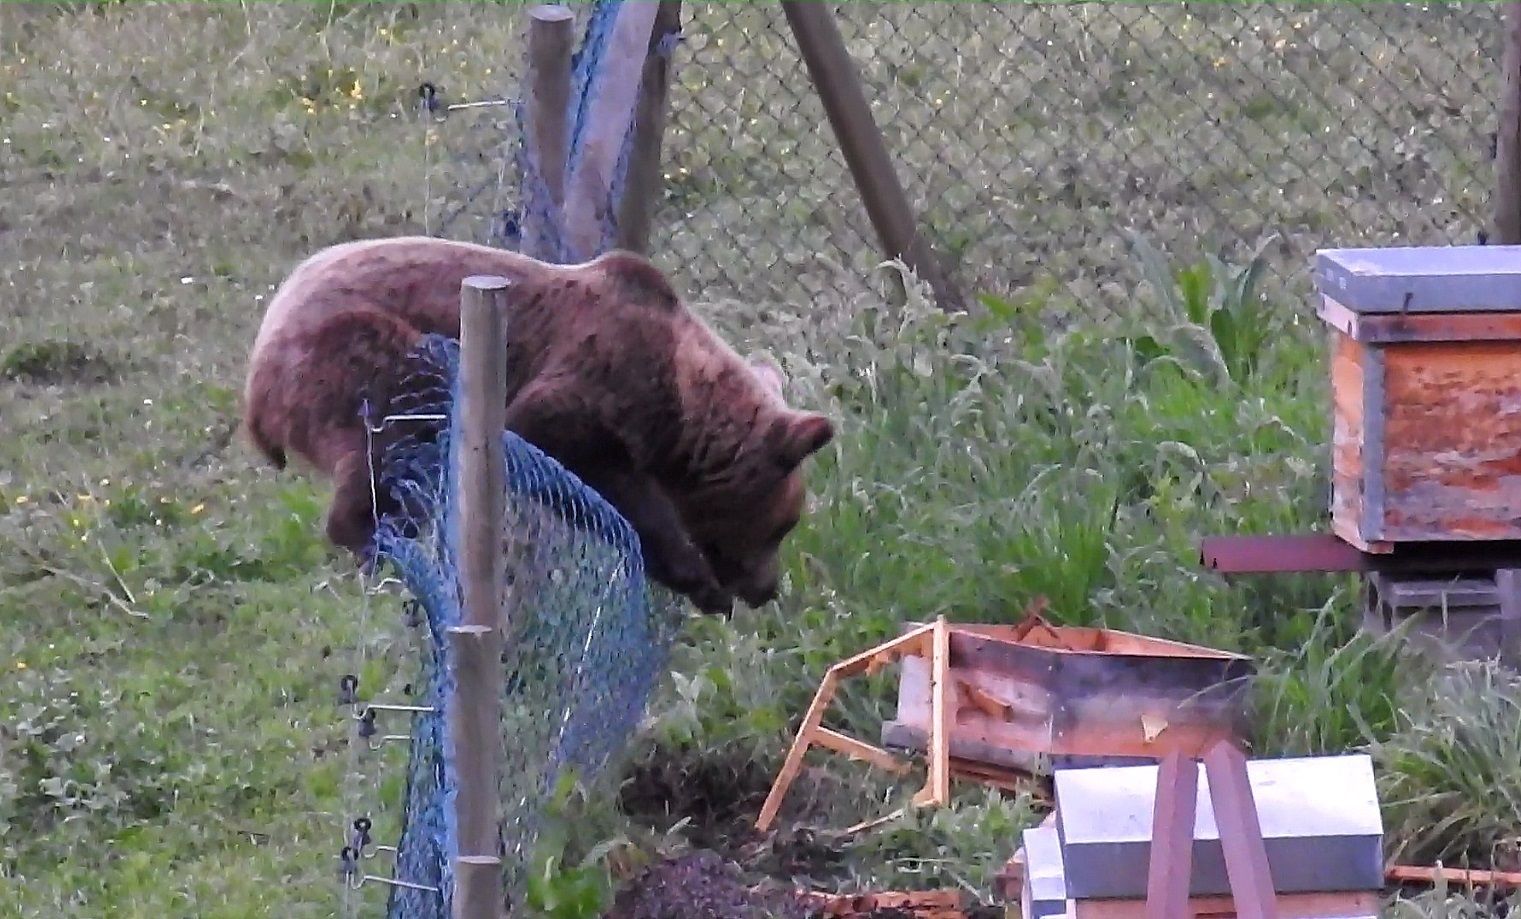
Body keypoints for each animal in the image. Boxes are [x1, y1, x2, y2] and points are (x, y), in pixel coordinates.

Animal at [240, 235, 833, 617]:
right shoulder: (593, 385)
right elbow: (600, 478)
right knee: (395, 440)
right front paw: (698, 579)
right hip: (363, 353)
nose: (767, 588)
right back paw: (382, 540)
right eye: (783, 524)